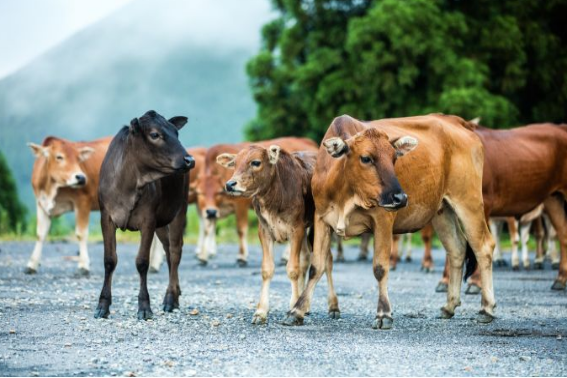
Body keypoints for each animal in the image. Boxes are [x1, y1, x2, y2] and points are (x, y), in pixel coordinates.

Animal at [25, 136, 112, 274]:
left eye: (78, 159)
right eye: (59, 156)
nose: (81, 178)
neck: (51, 187)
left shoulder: (83, 201)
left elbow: (81, 234)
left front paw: (83, 265)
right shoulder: (41, 203)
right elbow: (40, 234)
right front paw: (32, 264)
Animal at [94, 109, 194, 318]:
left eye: (176, 133)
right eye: (155, 134)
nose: (189, 160)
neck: (129, 186)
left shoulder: (148, 220)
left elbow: (142, 262)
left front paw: (144, 307)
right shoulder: (106, 216)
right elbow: (109, 260)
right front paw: (103, 306)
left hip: (180, 209)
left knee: (175, 250)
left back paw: (170, 298)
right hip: (162, 221)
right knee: (168, 250)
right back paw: (175, 294)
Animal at [195, 137, 320, 266]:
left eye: (218, 192)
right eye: (199, 193)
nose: (229, 185)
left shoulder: (240, 204)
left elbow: (241, 229)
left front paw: (241, 257)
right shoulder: (210, 210)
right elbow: (207, 229)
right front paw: (203, 256)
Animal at [217, 145, 340, 324]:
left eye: (256, 162)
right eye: (234, 163)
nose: (230, 184)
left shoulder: (296, 229)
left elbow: (293, 269)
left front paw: (293, 307)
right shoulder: (265, 231)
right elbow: (267, 269)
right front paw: (261, 311)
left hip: (320, 226)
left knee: (327, 260)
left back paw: (333, 307)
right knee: (306, 259)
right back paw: (305, 306)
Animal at [284, 114, 496, 328]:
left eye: (394, 158)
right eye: (366, 158)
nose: (400, 198)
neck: (346, 192)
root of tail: (459, 122)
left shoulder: (383, 219)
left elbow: (380, 268)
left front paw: (383, 313)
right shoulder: (321, 219)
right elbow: (316, 267)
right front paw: (297, 310)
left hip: (469, 202)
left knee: (483, 247)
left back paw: (486, 308)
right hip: (442, 211)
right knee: (457, 249)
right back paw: (449, 306)